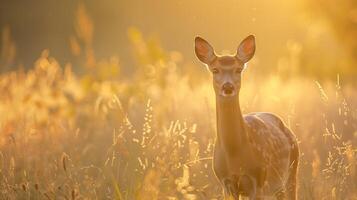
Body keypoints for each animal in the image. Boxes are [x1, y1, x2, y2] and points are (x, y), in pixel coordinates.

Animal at [193, 35, 298, 199]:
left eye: (238, 69)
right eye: (215, 70)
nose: (228, 87)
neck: (234, 154)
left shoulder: (258, 178)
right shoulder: (225, 182)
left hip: (291, 172)